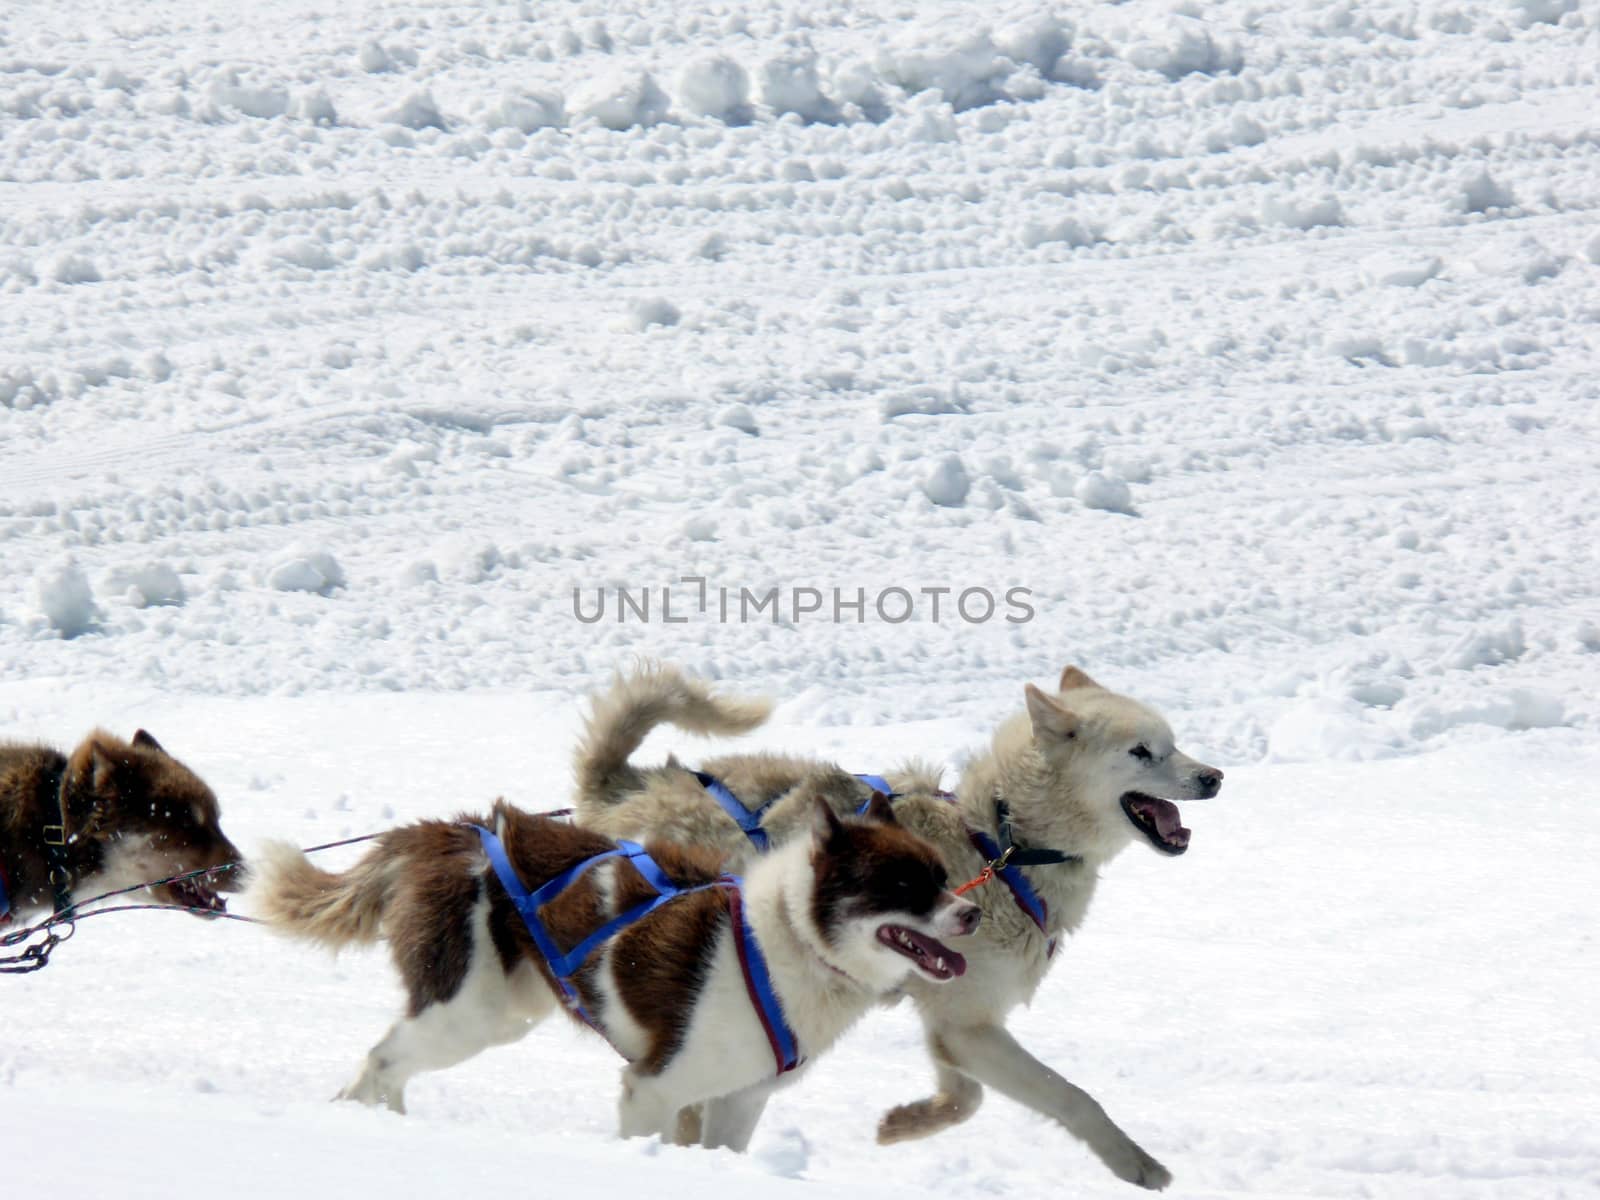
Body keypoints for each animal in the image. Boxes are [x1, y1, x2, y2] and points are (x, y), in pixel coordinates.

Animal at [252, 793, 972, 1152]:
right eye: (904, 885)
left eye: (942, 874)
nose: (969, 913)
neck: (784, 941)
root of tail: (450, 833)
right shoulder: (652, 1088)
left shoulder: (738, 1098)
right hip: (467, 1014)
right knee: (381, 1059)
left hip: (502, 1012)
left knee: (394, 1062)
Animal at [576, 668, 1222, 1196]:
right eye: (1142, 751)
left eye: (1173, 743)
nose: (1214, 776)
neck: (1000, 845)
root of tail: (627, 786)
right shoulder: (969, 1025)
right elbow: (1071, 1095)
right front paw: (1137, 1165)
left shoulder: (953, 1023)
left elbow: (965, 1100)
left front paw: (902, 1124)